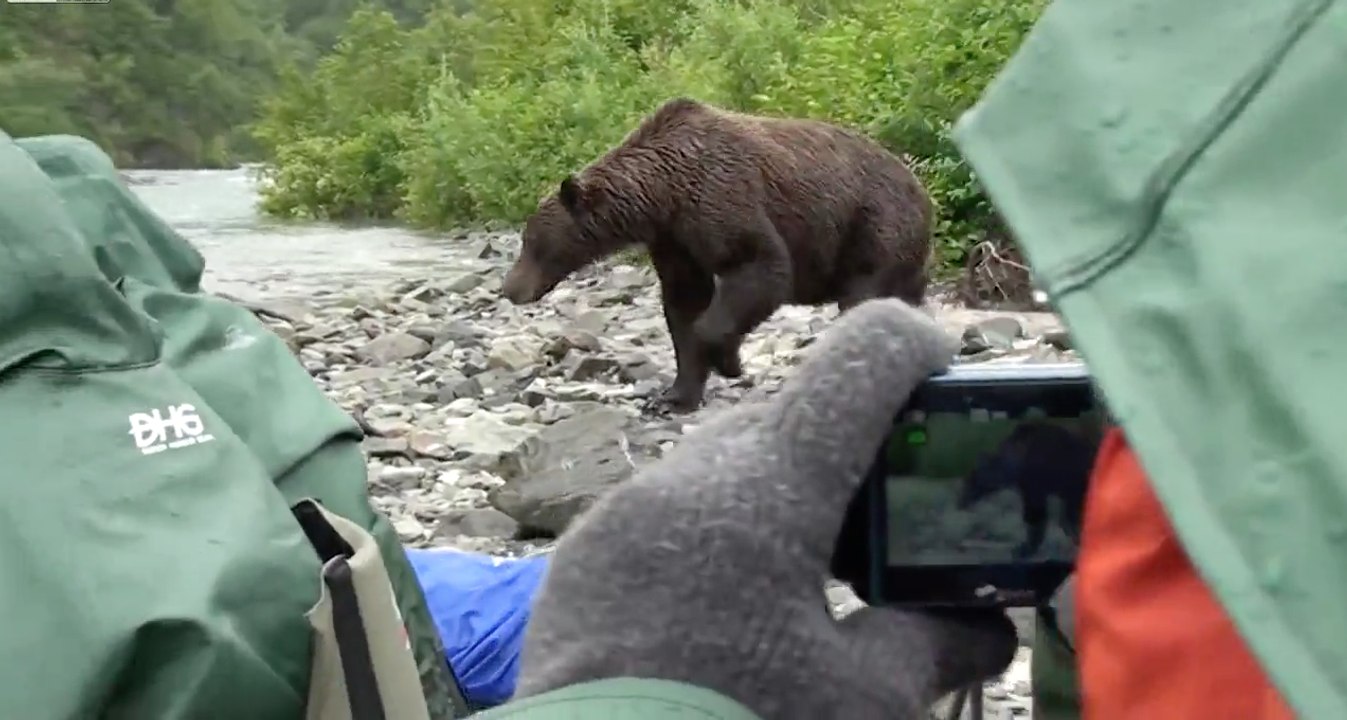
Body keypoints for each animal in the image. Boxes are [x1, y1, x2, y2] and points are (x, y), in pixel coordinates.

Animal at [501, 97, 934, 412]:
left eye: (533, 241)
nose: (510, 288)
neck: (664, 193)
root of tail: (919, 185)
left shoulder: (721, 198)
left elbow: (761, 267)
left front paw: (728, 360)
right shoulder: (674, 239)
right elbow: (684, 303)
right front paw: (674, 396)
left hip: (873, 224)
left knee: (863, 292)